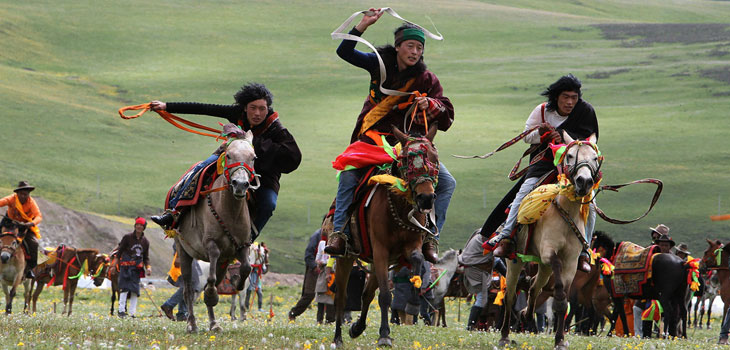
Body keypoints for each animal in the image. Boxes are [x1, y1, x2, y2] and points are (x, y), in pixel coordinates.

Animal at [175, 130, 258, 332]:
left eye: (253, 158)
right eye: (228, 155)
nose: (240, 184)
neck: (230, 213)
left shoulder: (241, 246)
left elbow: (246, 267)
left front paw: (238, 283)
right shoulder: (211, 244)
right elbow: (210, 280)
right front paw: (212, 295)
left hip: (222, 262)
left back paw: (214, 324)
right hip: (184, 251)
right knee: (188, 290)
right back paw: (192, 324)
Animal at [330, 125, 438, 348]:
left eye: (434, 157)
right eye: (405, 159)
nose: (426, 198)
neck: (398, 206)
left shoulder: (409, 247)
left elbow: (418, 259)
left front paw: (414, 299)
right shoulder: (380, 250)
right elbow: (386, 296)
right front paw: (385, 335)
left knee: (366, 294)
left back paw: (357, 328)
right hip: (347, 258)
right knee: (342, 298)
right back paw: (338, 338)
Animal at [498, 132, 600, 350]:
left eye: (595, 158)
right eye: (569, 155)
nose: (584, 181)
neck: (567, 211)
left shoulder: (570, 262)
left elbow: (563, 301)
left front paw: (560, 339)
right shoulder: (549, 254)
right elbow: (560, 294)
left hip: (543, 268)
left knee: (534, 287)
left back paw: (526, 315)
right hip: (515, 262)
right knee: (510, 295)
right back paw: (504, 336)